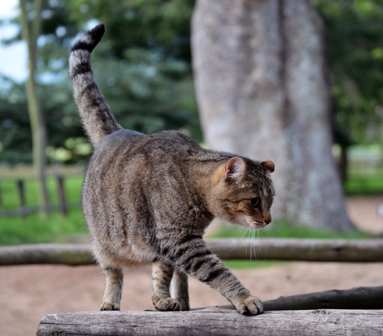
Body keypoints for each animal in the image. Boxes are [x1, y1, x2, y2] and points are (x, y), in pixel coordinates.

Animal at [68, 23, 272, 316]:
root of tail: (115, 132)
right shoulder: (181, 242)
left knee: (159, 273)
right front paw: (245, 298)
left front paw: (172, 298)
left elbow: (169, 274)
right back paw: (110, 302)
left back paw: (164, 299)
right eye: (255, 201)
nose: (268, 220)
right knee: (113, 273)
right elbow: (218, 272)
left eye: (271, 200)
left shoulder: (175, 243)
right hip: (104, 243)